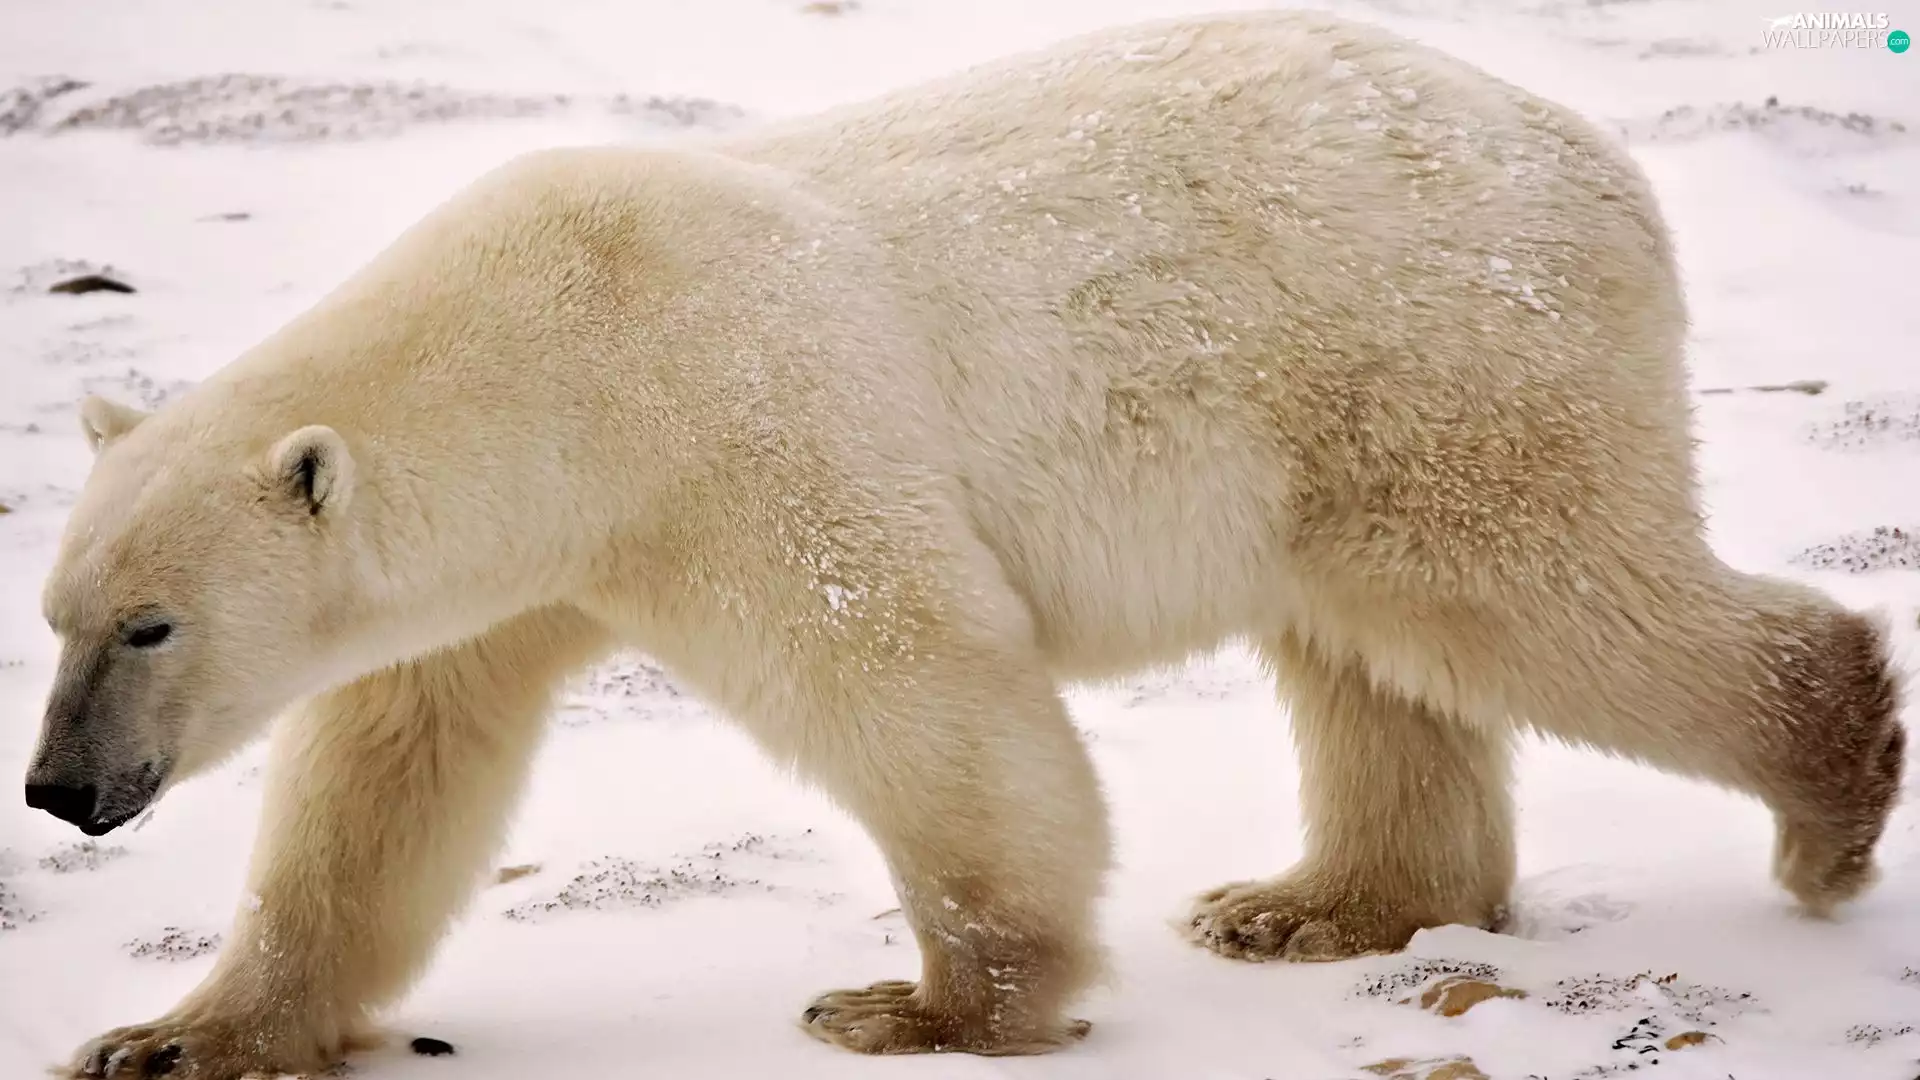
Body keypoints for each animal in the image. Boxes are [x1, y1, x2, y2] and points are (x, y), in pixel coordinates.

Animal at [25, 9, 1904, 1078]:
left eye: (150, 627)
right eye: (55, 615)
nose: (57, 790)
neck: (553, 349)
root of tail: (1594, 154)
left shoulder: (732, 423)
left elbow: (915, 679)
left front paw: (927, 1009)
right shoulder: (506, 570)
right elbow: (385, 783)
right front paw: (172, 1040)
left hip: (1428, 344)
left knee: (1529, 590)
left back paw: (1829, 800)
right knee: (1371, 654)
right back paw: (1313, 906)